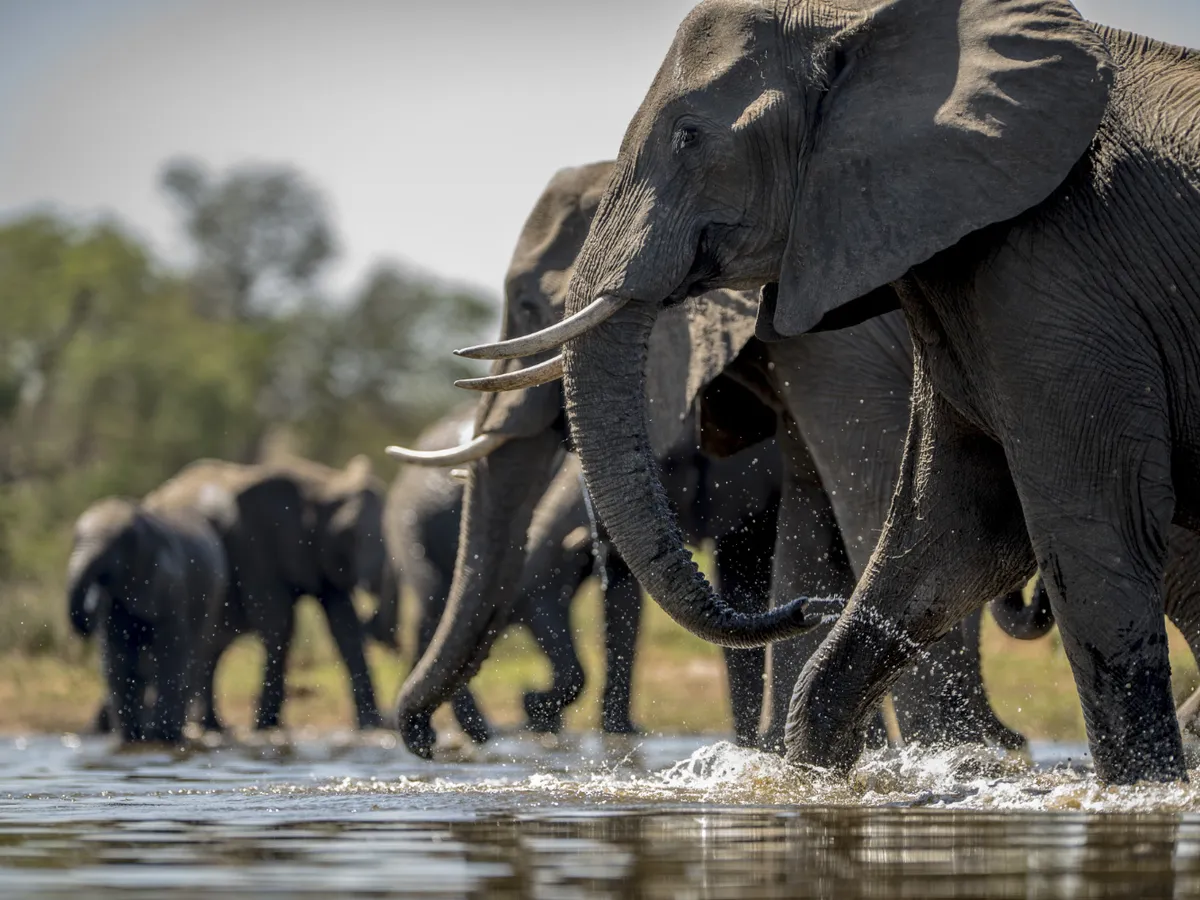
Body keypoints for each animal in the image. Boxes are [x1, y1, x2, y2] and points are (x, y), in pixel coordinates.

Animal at [67, 496, 228, 743]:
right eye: (75, 539)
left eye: (116, 547)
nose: (87, 618)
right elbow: (118, 656)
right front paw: (130, 738)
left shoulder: (169, 584)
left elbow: (170, 653)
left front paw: (163, 737)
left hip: (213, 598)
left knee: (194, 658)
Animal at [146, 455, 386, 731]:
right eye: (349, 533)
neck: (322, 484)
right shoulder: (255, 545)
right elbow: (278, 620)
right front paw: (266, 726)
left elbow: (345, 626)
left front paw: (371, 726)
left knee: (210, 648)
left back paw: (212, 726)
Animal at [388, 160, 1032, 758]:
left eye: (527, 305)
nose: (429, 743)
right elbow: (805, 524)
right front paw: (779, 759)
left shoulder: (841, 348)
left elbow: (873, 505)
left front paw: (942, 756)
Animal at [477, 1, 1200, 782]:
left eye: (689, 136)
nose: (809, 608)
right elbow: (954, 527)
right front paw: (826, 775)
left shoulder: (1056, 275)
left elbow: (1086, 528)